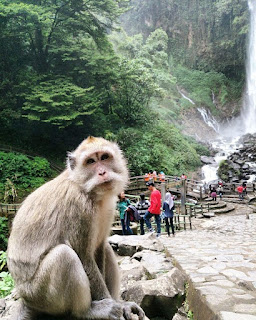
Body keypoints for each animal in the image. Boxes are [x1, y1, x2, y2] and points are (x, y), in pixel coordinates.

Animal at [7, 138, 145, 320]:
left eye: (104, 157)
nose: (102, 172)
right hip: (39, 294)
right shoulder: (78, 207)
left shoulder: (109, 206)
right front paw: (108, 303)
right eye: (91, 161)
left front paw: (118, 304)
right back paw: (87, 311)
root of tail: (25, 300)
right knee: (64, 255)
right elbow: (84, 256)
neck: (89, 191)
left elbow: (98, 248)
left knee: (106, 248)